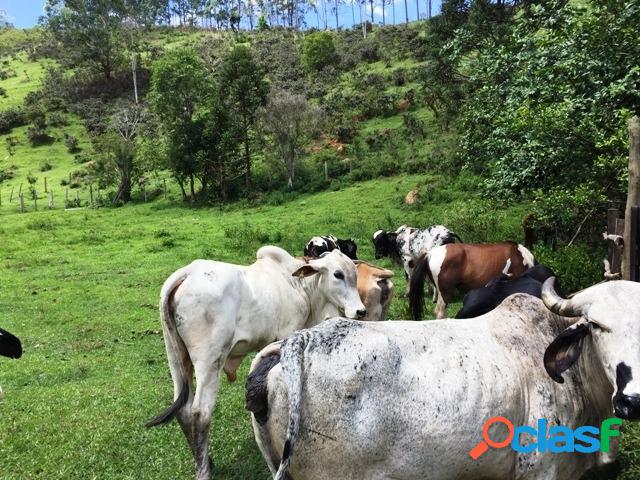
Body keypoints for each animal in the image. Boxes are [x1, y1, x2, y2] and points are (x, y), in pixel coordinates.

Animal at [146, 248, 364, 480]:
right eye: (338, 274)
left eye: (355, 275)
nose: (360, 311)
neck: (299, 285)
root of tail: (187, 273)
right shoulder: (287, 333)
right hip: (209, 359)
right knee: (200, 413)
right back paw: (204, 470)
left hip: (176, 356)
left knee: (183, 409)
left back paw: (204, 459)